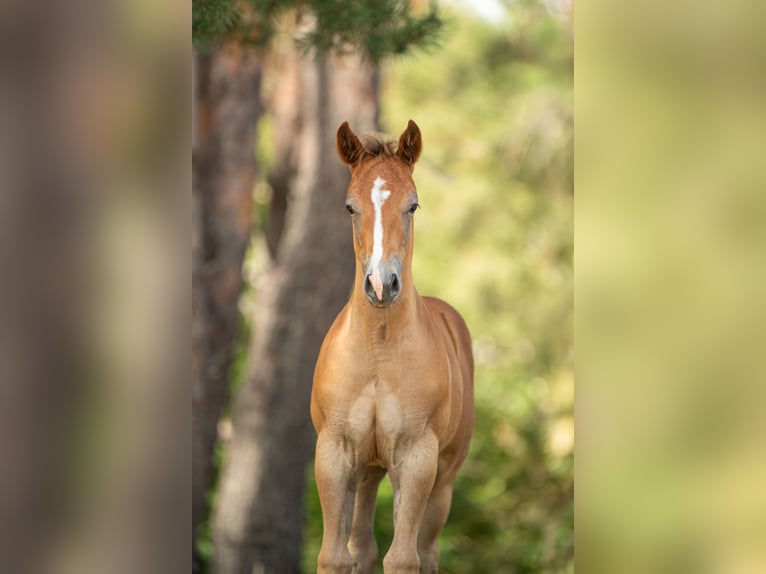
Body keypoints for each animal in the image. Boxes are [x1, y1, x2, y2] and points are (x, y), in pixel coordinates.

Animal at [310, 120, 475, 574]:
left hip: (443, 480)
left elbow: (403, 558)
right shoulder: (335, 453)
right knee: (362, 548)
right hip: (369, 469)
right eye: (350, 207)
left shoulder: (417, 459)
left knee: (427, 552)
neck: (378, 354)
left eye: (413, 205)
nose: (381, 285)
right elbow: (336, 557)